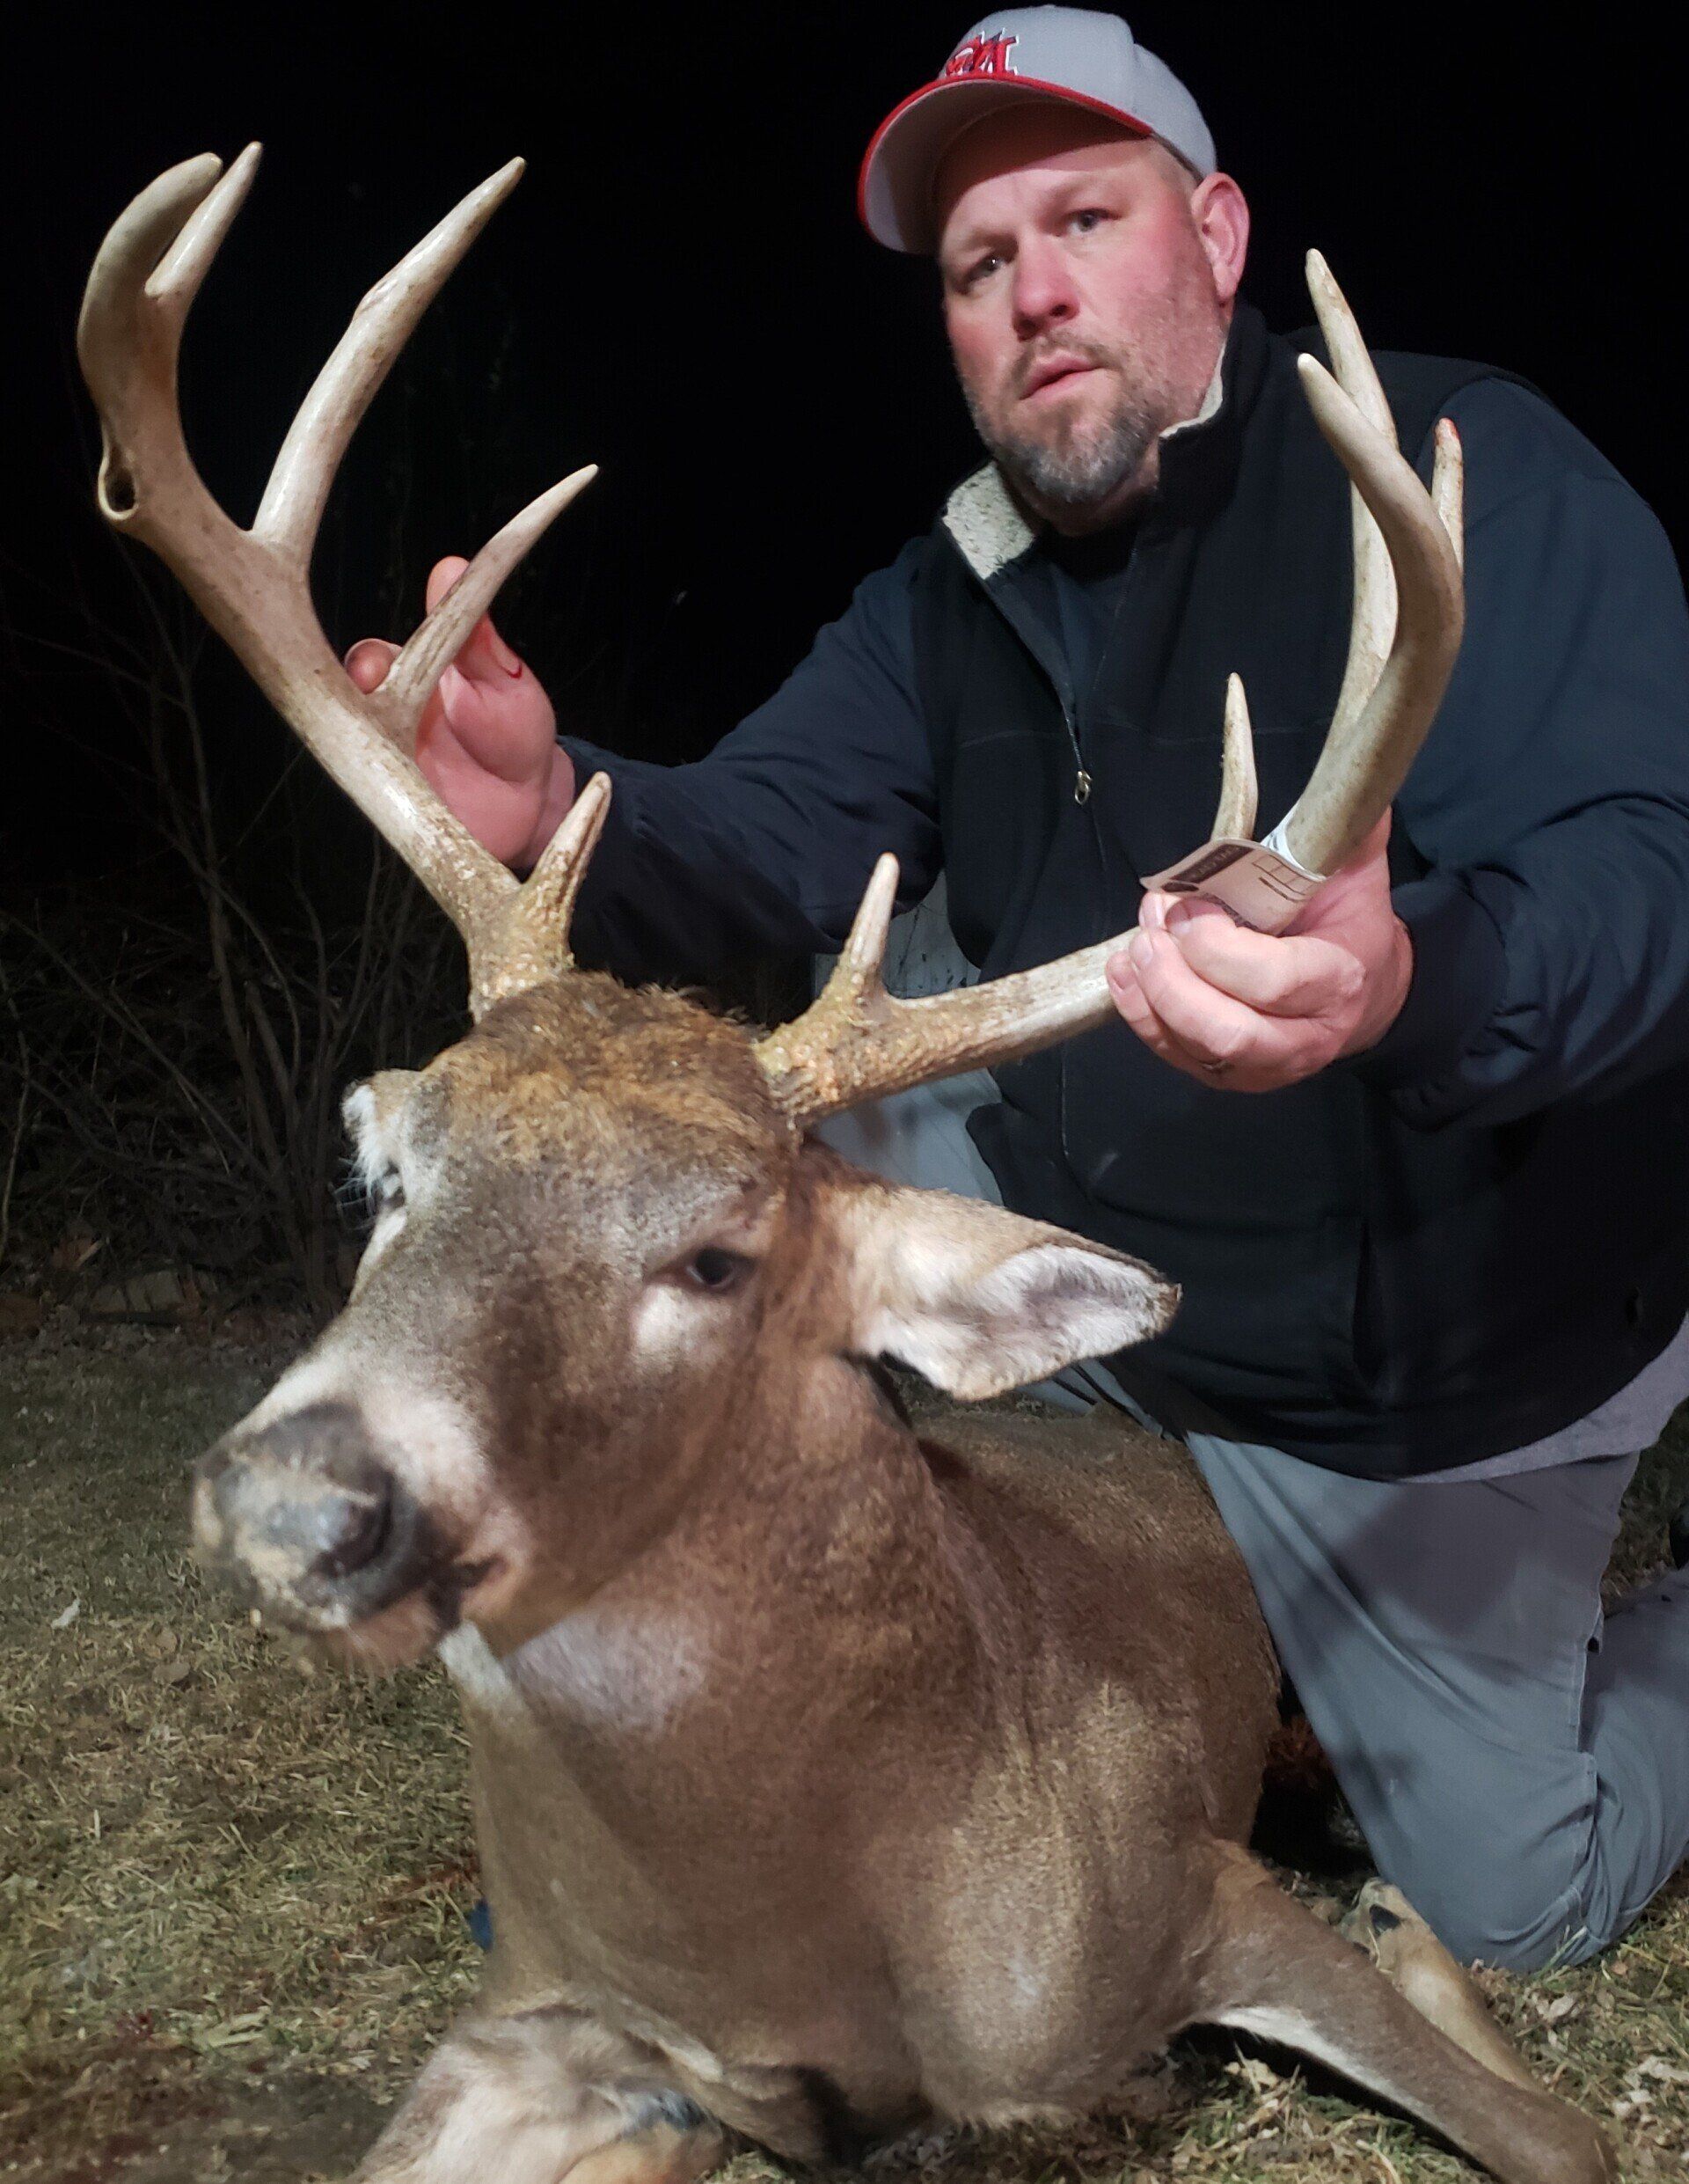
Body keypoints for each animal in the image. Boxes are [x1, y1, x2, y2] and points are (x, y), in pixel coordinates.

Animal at [79, 147, 1618, 2184]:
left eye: (718, 1254)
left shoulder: (1181, 1897)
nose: (297, 1499)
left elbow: (1562, 2140)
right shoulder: (557, 2012)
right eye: (384, 1172)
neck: (793, 1925)